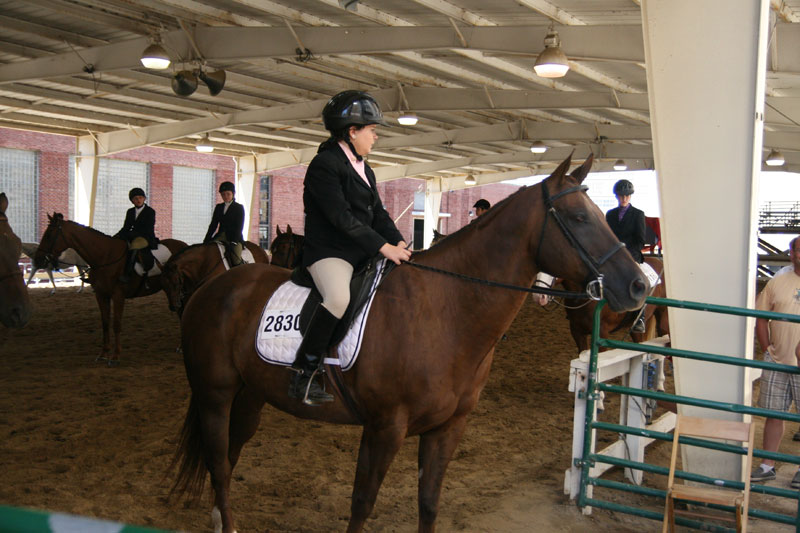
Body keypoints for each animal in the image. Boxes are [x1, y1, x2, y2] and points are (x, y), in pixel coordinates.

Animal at [33, 214, 188, 364]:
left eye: (49, 235)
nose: (37, 260)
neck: (105, 257)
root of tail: (185, 245)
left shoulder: (118, 295)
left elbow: (116, 324)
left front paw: (115, 356)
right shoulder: (101, 295)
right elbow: (105, 323)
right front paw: (103, 354)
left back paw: (181, 347)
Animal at [170, 155, 648, 532]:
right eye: (579, 218)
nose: (639, 286)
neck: (446, 309)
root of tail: (212, 288)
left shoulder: (447, 429)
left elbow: (429, 503)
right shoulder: (384, 428)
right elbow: (362, 505)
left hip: (251, 396)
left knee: (230, 455)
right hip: (214, 394)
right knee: (218, 462)